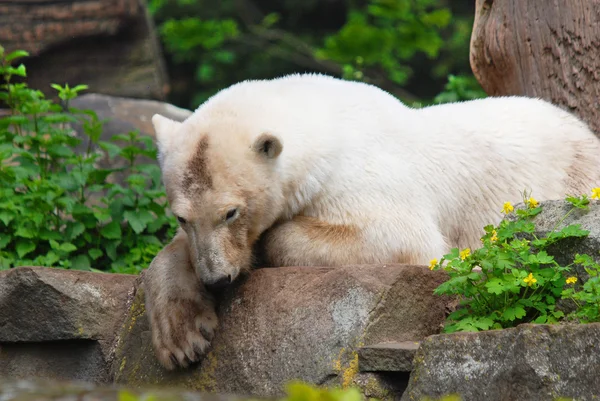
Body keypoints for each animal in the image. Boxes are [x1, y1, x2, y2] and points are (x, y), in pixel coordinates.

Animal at [142, 72, 600, 368]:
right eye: (182, 218)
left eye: (231, 211)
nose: (216, 279)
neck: (323, 121)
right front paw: (182, 336)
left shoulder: (363, 178)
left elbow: (402, 239)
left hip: (577, 174)